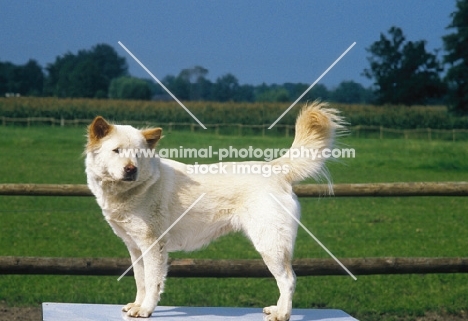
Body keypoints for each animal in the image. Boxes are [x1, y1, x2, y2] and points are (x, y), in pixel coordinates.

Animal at [86, 102, 344, 320]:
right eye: (117, 151)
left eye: (138, 154)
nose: (131, 170)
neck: (135, 189)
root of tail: (274, 169)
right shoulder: (135, 248)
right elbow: (140, 281)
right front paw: (137, 305)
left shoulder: (153, 246)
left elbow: (152, 283)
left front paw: (146, 310)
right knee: (286, 279)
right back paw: (277, 309)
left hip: (270, 245)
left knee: (288, 279)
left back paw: (282, 314)